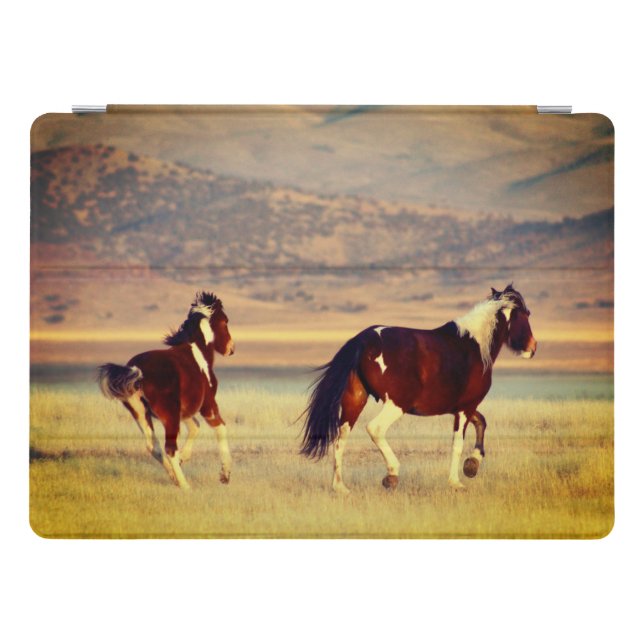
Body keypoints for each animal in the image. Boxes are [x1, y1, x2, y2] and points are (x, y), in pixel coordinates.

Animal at [98, 292, 235, 490]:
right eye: (225, 321)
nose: (231, 349)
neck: (198, 352)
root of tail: (137, 371)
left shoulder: (184, 411)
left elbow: (195, 427)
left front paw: (184, 458)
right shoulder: (207, 405)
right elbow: (221, 428)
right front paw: (225, 475)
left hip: (141, 413)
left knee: (153, 446)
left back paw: (174, 476)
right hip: (168, 415)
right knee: (169, 448)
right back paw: (185, 486)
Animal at [300, 284, 537, 493]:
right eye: (526, 314)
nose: (533, 348)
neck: (475, 346)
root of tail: (362, 340)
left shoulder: (462, 407)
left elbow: (482, 423)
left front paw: (472, 465)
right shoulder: (465, 408)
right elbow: (458, 443)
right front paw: (456, 482)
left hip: (355, 399)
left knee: (341, 436)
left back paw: (340, 487)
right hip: (396, 404)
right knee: (375, 429)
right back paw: (391, 475)